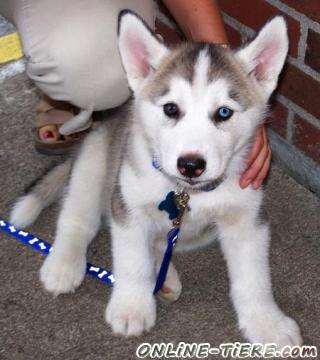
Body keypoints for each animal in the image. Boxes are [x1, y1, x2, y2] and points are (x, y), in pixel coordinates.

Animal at [11, 10, 302, 346]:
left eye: (224, 113)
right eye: (171, 108)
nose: (190, 165)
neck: (188, 193)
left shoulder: (247, 217)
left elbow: (254, 279)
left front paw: (267, 324)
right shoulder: (128, 208)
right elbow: (132, 261)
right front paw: (131, 307)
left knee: (160, 244)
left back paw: (165, 278)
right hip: (92, 164)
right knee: (77, 219)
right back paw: (63, 265)